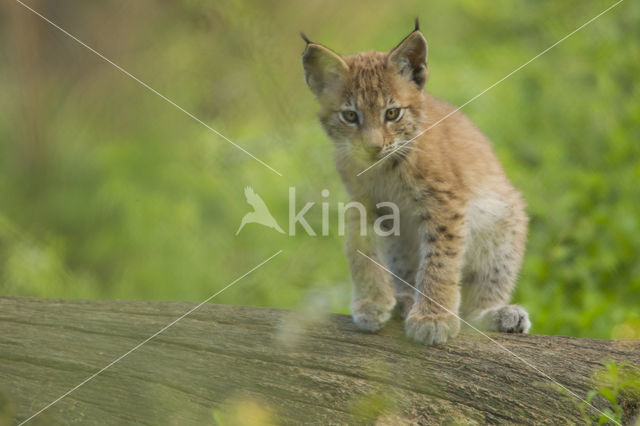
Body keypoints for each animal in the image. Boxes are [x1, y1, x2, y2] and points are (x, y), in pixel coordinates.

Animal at [302, 21, 532, 344]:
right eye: (349, 116)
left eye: (392, 113)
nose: (372, 147)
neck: (383, 168)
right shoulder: (363, 202)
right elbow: (358, 250)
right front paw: (371, 303)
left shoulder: (444, 201)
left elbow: (440, 261)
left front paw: (433, 318)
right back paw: (403, 300)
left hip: (505, 216)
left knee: (473, 311)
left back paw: (497, 314)